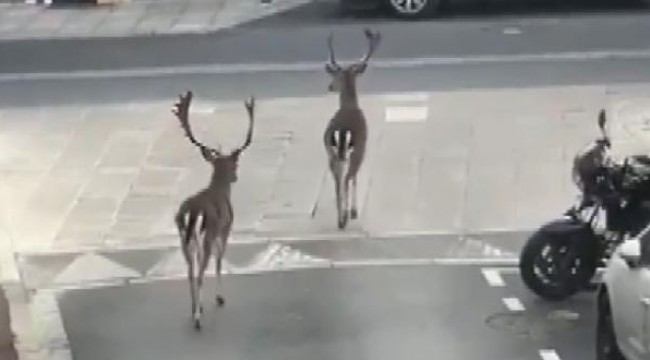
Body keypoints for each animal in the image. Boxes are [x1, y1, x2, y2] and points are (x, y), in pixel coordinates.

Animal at [171, 90, 254, 332]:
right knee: (200, 272)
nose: (235, 176)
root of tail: (191, 212)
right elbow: (219, 261)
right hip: (207, 234)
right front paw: (219, 297)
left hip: (184, 237)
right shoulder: (226, 228)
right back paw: (198, 319)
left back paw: (194, 309)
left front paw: (201, 304)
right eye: (235, 165)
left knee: (190, 272)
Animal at [320, 29, 378, 229]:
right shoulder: (364, 146)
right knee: (347, 178)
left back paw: (340, 218)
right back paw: (346, 216)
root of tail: (342, 131)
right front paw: (353, 211)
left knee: (337, 180)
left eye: (335, 77)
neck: (350, 105)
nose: (330, 86)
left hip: (331, 151)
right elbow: (355, 178)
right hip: (354, 151)